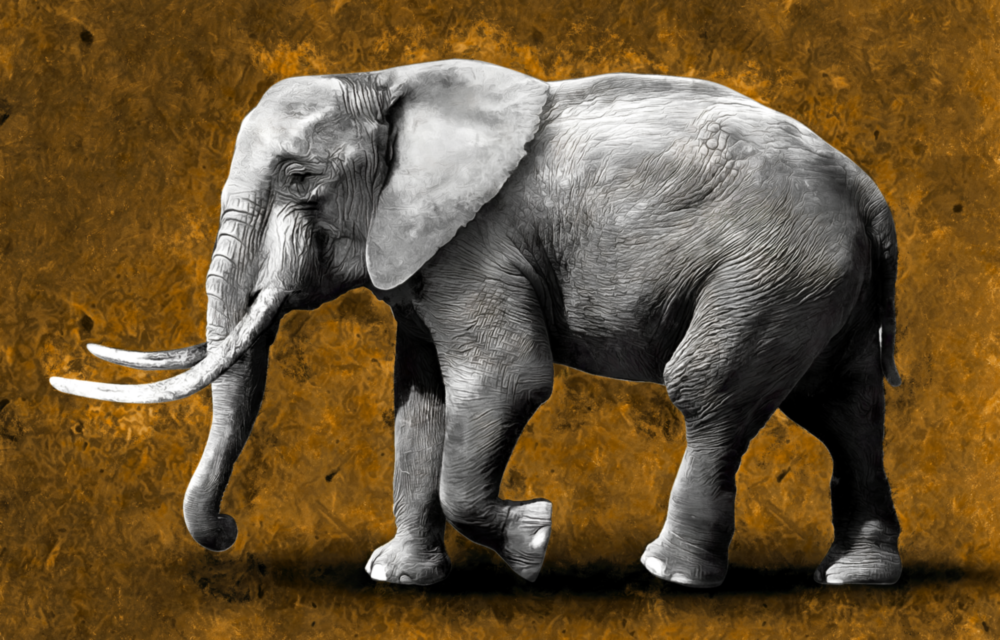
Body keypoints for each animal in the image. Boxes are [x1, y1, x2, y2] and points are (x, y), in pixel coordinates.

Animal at [51, 59, 903, 588]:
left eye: (301, 178)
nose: (228, 530)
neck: (386, 82)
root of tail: (868, 194)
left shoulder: (479, 245)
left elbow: (504, 382)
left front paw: (532, 542)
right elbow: (419, 405)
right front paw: (397, 577)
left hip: (771, 270)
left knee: (711, 393)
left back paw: (671, 574)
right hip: (819, 286)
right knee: (844, 408)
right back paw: (855, 577)